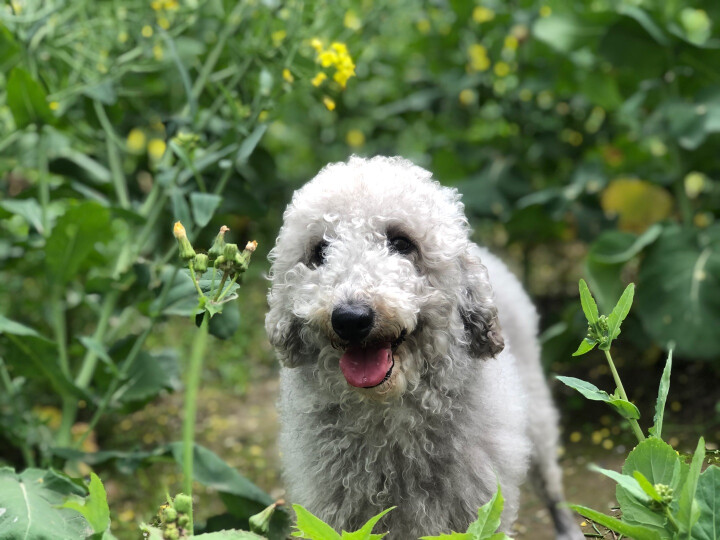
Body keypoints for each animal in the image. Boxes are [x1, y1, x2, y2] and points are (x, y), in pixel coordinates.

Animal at [268, 156, 584, 540]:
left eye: (402, 243)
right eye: (320, 251)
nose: (350, 318)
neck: (387, 418)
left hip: (537, 418)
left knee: (551, 483)